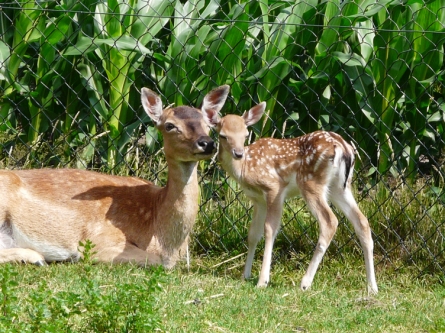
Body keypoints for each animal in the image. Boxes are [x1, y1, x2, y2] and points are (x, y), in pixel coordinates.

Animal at [0, 85, 229, 268]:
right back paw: (35, 257)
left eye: (209, 124)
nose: (206, 143)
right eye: (170, 125)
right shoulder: (101, 239)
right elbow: (157, 262)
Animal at [203, 102, 376, 292]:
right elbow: (253, 234)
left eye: (246, 134)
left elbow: (270, 230)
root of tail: (343, 148)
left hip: (311, 182)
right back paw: (372, 287)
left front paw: (262, 280)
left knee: (329, 221)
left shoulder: (274, 188)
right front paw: (245, 275)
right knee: (362, 222)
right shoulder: (258, 200)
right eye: (223, 135)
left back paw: (305, 282)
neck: (245, 168)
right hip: (340, 188)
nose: (239, 153)